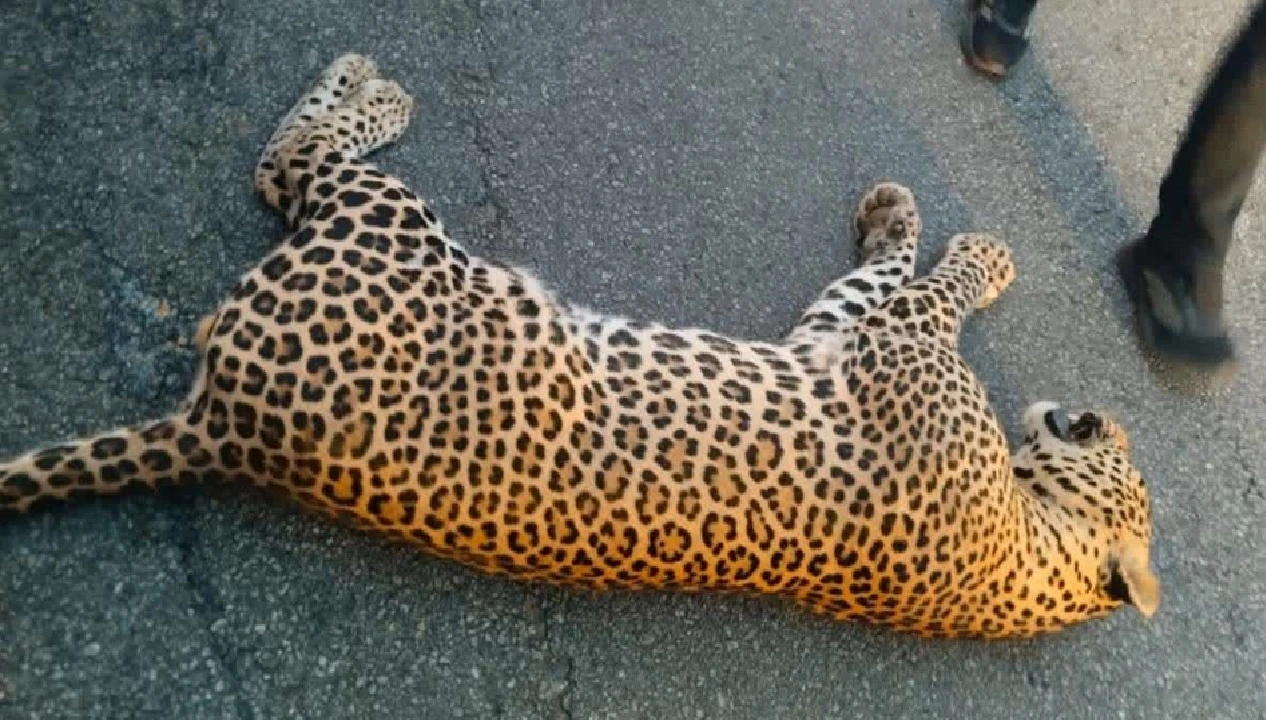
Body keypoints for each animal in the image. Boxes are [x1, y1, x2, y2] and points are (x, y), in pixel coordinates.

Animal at [0, 54, 1159, 639]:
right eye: (1131, 456)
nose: (1108, 416)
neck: (1036, 557)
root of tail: (226, 429)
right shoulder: (840, 335)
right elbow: (891, 273)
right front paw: (909, 217)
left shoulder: (886, 344)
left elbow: (928, 290)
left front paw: (972, 251)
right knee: (288, 165)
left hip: (389, 231)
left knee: (292, 163)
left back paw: (372, 82)